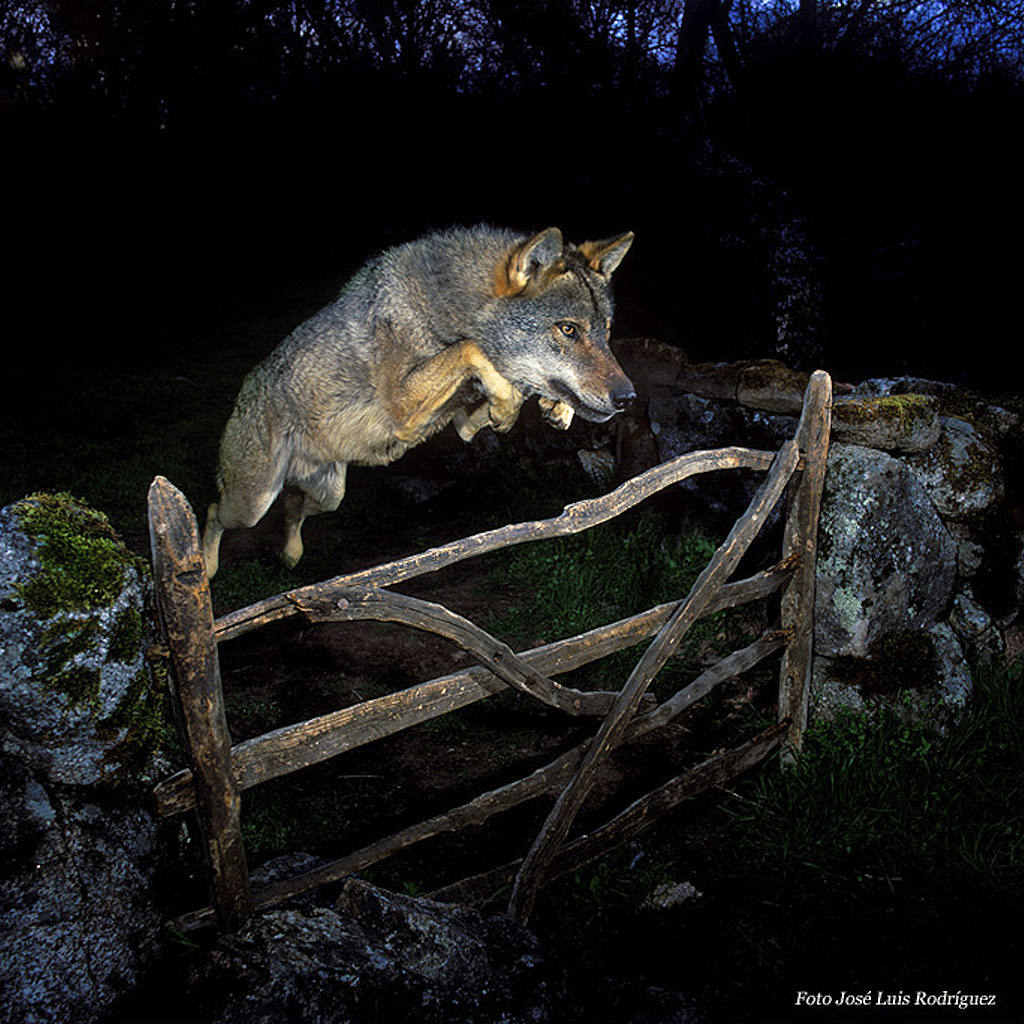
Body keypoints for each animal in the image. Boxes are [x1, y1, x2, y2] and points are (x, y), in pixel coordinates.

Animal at [198, 224, 630, 577]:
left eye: (606, 331)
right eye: (568, 330)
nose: (628, 397)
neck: (446, 308)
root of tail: (247, 387)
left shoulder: (462, 424)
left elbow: (503, 383)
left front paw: (553, 408)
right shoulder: (405, 405)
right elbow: (473, 349)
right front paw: (510, 405)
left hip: (328, 496)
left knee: (291, 506)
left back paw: (290, 556)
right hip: (251, 504)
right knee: (214, 510)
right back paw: (205, 567)